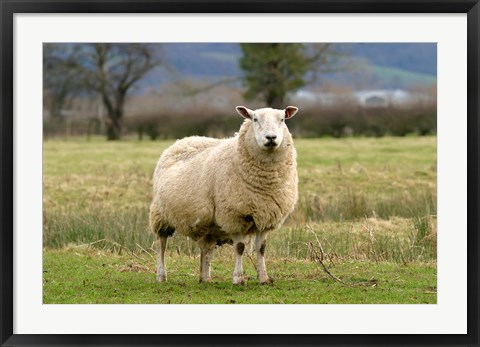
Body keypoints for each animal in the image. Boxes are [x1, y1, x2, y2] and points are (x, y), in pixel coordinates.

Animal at [149, 106, 300, 286]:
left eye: (282, 119)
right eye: (254, 119)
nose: (271, 138)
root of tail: (184, 140)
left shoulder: (266, 217)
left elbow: (261, 248)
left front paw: (264, 278)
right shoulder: (234, 216)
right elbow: (240, 247)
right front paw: (238, 278)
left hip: (208, 224)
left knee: (206, 248)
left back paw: (205, 278)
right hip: (160, 215)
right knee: (161, 244)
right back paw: (161, 275)